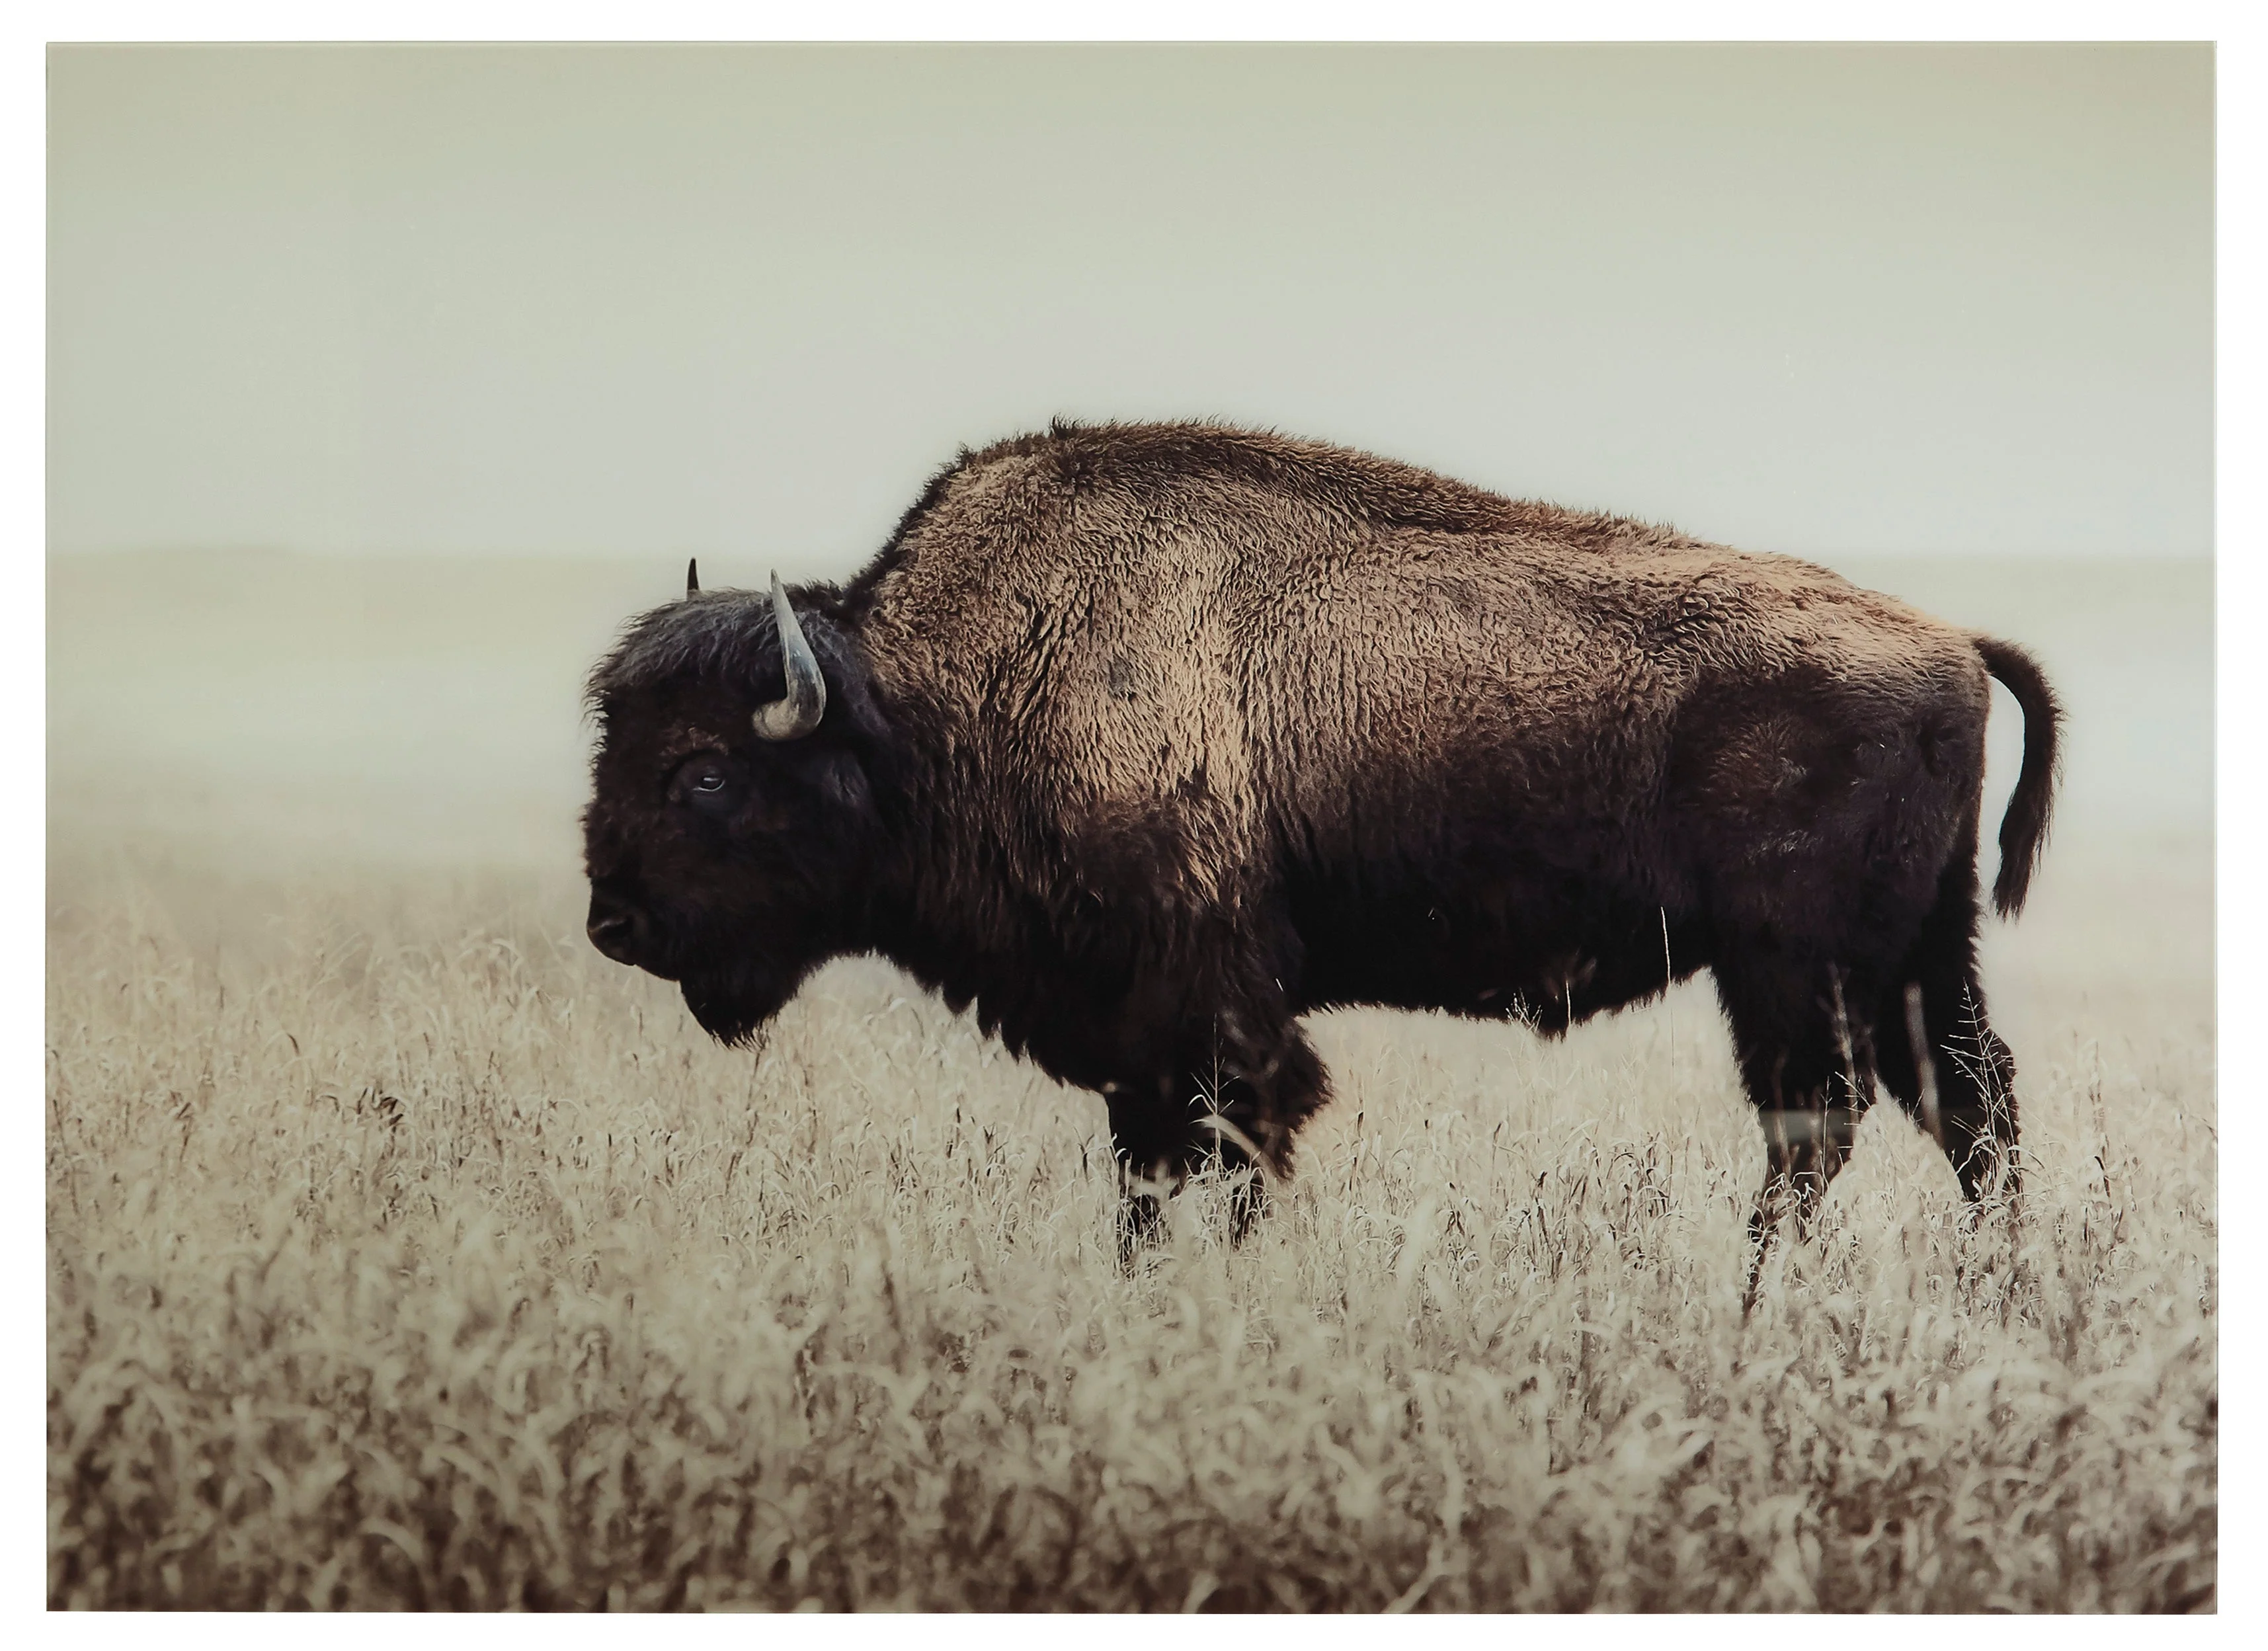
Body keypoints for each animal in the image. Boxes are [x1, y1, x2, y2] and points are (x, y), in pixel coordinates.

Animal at [582, 420, 2058, 1260]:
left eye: (703, 772)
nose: (613, 923)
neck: (926, 700)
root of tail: (1946, 639)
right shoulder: (1140, 1034)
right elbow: (1148, 1173)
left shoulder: (1213, 1007)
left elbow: (1233, 1147)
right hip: (1917, 955)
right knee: (1967, 1108)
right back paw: (1993, 1298)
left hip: (1793, 967)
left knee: (1819, 1123)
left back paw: (1756, 1300)